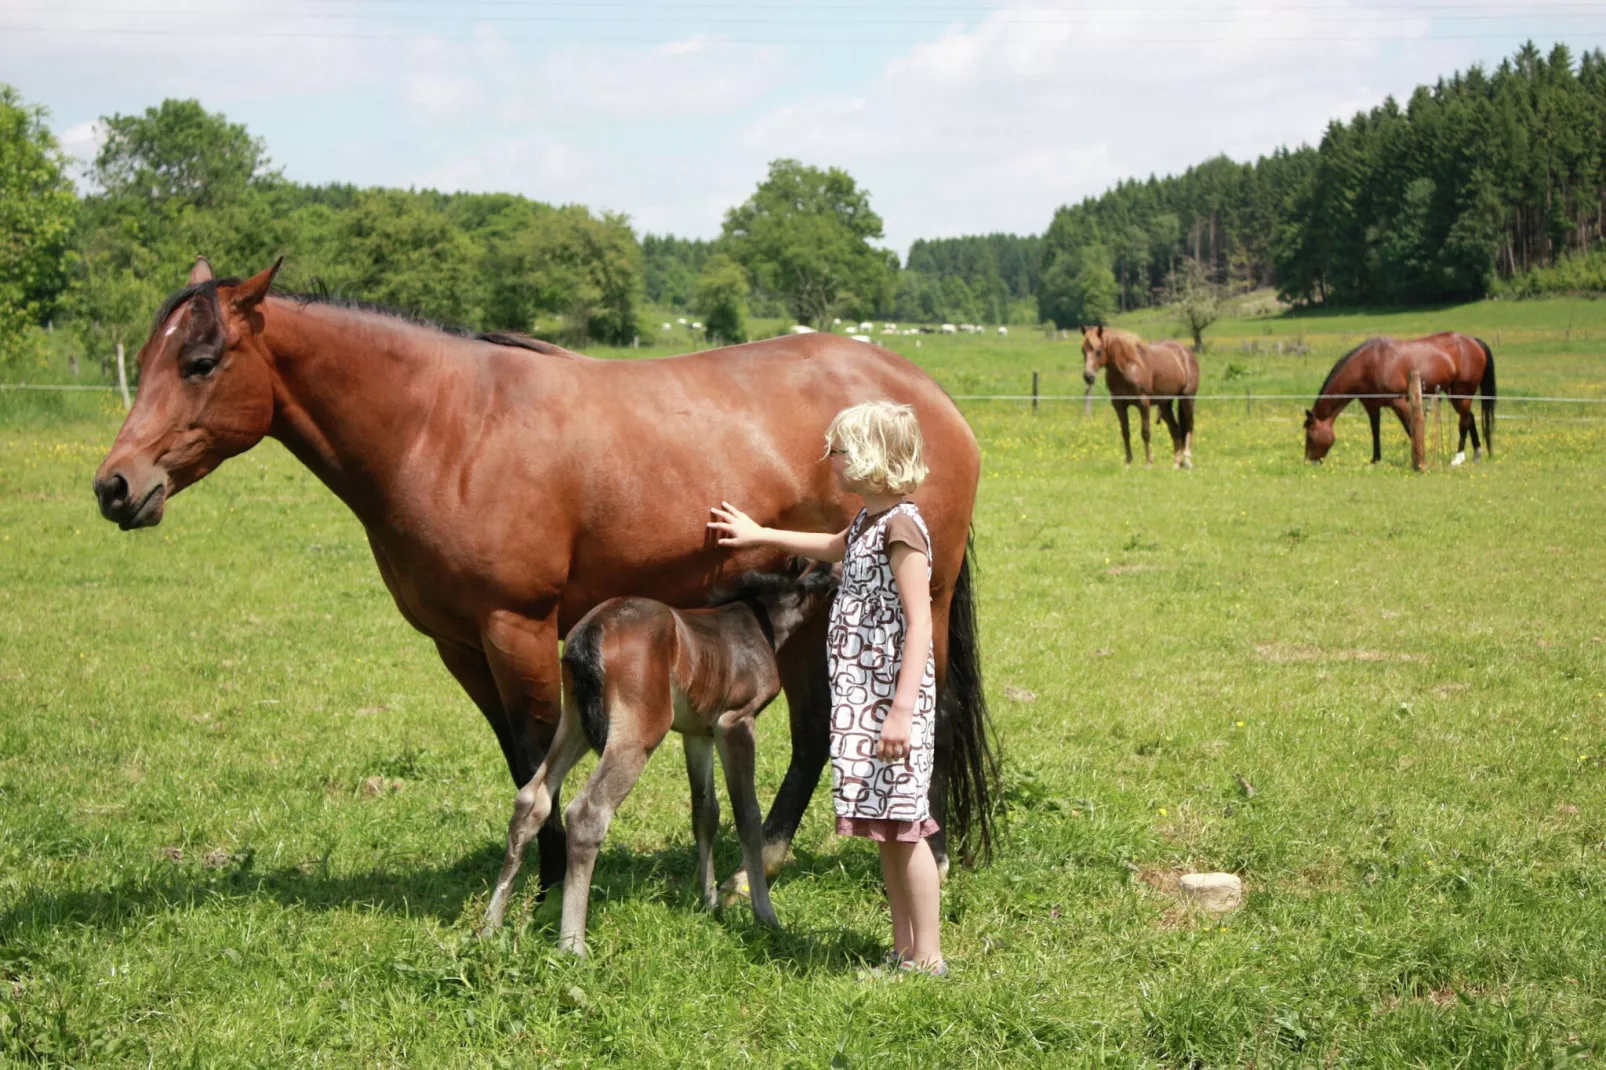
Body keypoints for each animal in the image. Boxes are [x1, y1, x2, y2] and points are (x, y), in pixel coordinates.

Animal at [91, 257, 1002, 893]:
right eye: (149, 358)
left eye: (201, 359)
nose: (116, 487)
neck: (448, 428)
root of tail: (923, 393)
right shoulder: (461, 645)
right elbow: (517, 757)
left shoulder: (517, 628)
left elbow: (536, 749)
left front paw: (547, 886)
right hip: (813, 608)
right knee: (816, 732)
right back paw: (761, 866)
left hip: (916, 599)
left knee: (928, 713)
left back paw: (927, 859)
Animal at [478, 562, 841, 944]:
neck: (761, 619)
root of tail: (592, 629)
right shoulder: (735, 722)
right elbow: (748, 816)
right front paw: (762, 913)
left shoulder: (699, 733)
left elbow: (705, 812)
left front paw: (709, 902)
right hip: (639, 732)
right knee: (587, 812)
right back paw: (572, 946)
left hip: (574, 723)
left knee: (531, 800)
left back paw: (490, 928)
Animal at [1085, 324, 1201, 465]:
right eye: (1083, 350)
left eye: (1098, 351)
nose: (1088, 376)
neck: (1129, 367)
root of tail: (1186, 351)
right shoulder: (1119, 404)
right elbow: (1125, 431)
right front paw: (1128, 462)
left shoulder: (1143, 403)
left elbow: (1145, 432)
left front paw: (1149, 462)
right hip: (1165, 404)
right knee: (1175, 429)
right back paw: (1176, 463)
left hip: (1187, 398)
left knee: (1189, 425)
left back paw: (1187, 459)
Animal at [1304, 330, 1490, 465]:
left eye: (1310, 437)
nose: (1309, 462)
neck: (1369, 364)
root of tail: (1473, 341)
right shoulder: (1372, 406)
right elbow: (1375, 431)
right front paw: (1375, 459)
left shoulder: (1398, 402)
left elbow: (1411, 428)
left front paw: (1419, 460)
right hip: (1455, 394)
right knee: (1469, 418)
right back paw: (1477, 455)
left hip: (1462, 394)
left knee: (1464, 421)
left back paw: (1457, 458)